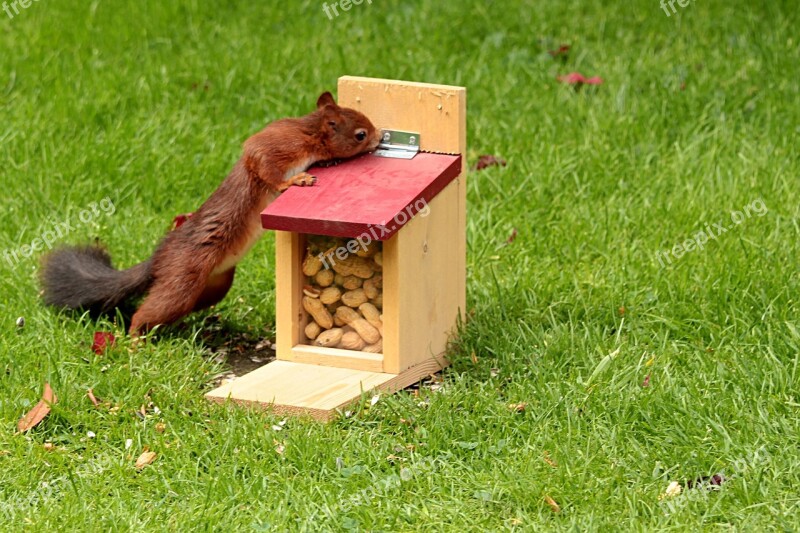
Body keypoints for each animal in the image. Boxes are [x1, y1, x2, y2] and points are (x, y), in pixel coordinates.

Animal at [40, 91, 382, 332]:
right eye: (360, 134)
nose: (379, 137)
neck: (309, 131)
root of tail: (158, 258)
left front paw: (328, 161)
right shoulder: (276, 144)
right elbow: (263, 165)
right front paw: (294, 180)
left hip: (213, 287)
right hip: (183, 277)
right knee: (147, 310)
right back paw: (135, 340)